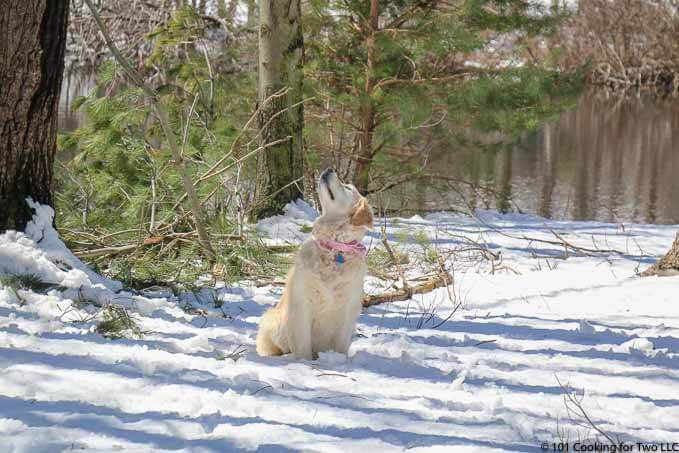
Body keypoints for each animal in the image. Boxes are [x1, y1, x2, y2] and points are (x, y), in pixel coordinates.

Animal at [256, 168, 374, 358]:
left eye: (348, 187)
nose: (329, 169)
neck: (334, 249)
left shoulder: (348, 309)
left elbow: (341, 345)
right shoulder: (301, 304)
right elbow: (302, 344)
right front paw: (303, 362)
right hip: (272, 321)